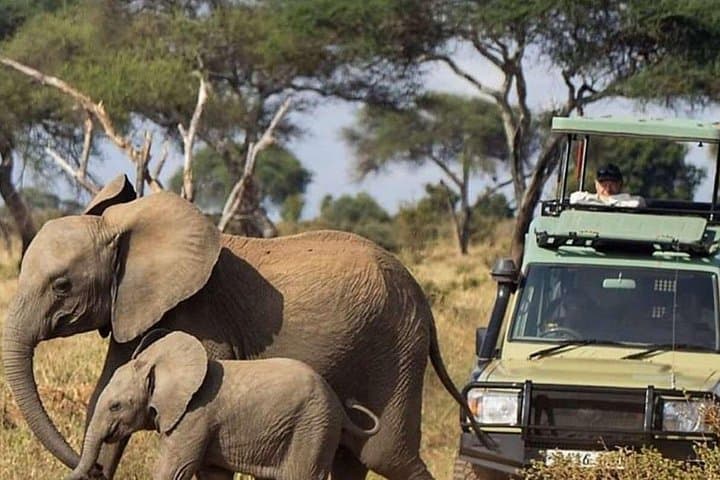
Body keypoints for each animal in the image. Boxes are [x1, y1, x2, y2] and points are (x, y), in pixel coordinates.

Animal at [67, 331, 381, 480]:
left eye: (116, 406)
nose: (97, 469)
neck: (159, 363)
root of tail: (341, 408)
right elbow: (212, 474)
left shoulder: (194, 418)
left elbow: (173, 470)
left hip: (313, 428)